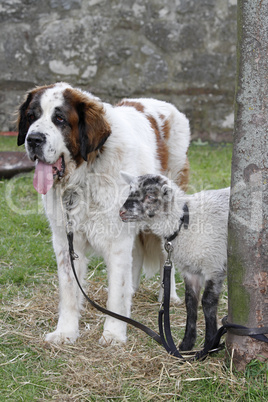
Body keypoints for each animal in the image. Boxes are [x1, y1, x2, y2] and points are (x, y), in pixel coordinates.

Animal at [17, 82, 191, 346]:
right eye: (31, 116)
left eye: (59, 119)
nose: (33, 139)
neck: (84, 175)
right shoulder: (66, 240)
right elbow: (69, 289)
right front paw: (65, 332)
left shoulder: (116, 240)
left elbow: (116, 294)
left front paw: (114, 334)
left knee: (166, 257)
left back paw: (168, 296)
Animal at [120, 173, 230, 352]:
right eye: (130, 191)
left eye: (150, 196)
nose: (121, 212)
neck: (183, 222)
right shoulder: (190, 271)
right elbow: (190, 303)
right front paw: (187, 344)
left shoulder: (214, 265)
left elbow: (207, 302)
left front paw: (210, 344)